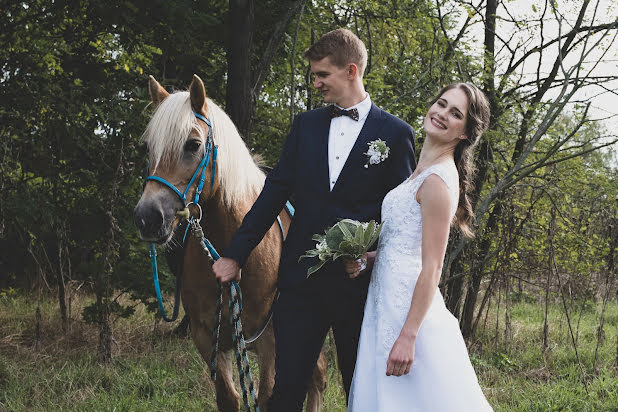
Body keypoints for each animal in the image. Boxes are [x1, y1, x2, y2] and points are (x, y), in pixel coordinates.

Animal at [133, 75, 330, 412]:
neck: (235, 250)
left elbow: (267, 397)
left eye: (193, 144)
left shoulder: (270, 339)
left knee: (316, 377)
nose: (147, 217)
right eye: (148, 147)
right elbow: (229, 397)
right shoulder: (208, 336)